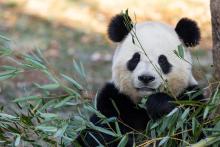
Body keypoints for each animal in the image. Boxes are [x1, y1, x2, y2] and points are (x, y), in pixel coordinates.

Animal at [75, 12, 205, 147]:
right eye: (135, 58)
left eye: (162, 60)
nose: (146, 78)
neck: (142, 103)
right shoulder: (114, 99)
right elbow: (101, 132)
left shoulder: (191, 98)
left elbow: (190, 131)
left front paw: (159, 105)